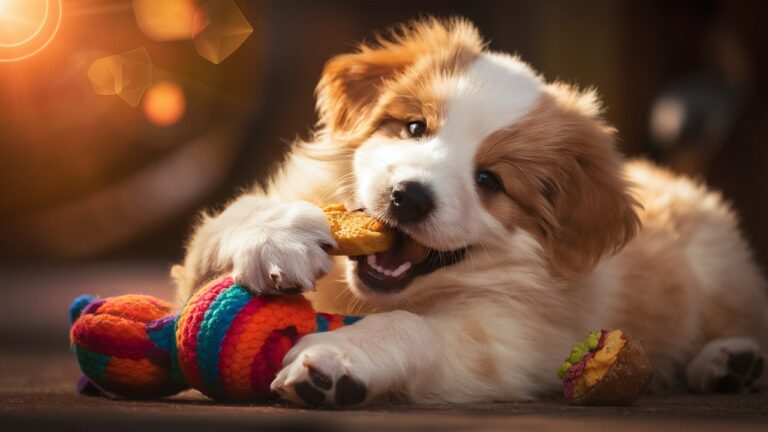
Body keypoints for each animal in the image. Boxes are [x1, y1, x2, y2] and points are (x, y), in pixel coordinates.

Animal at [174, 18, 768, 406]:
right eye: (415, 127)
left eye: (490, 181)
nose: (409, 196)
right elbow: (225, 223)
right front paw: (274, 235)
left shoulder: (509, 340)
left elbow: (410, 326)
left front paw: (337, 359)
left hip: (720, 265)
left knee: (742, 316)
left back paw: (730, 360)